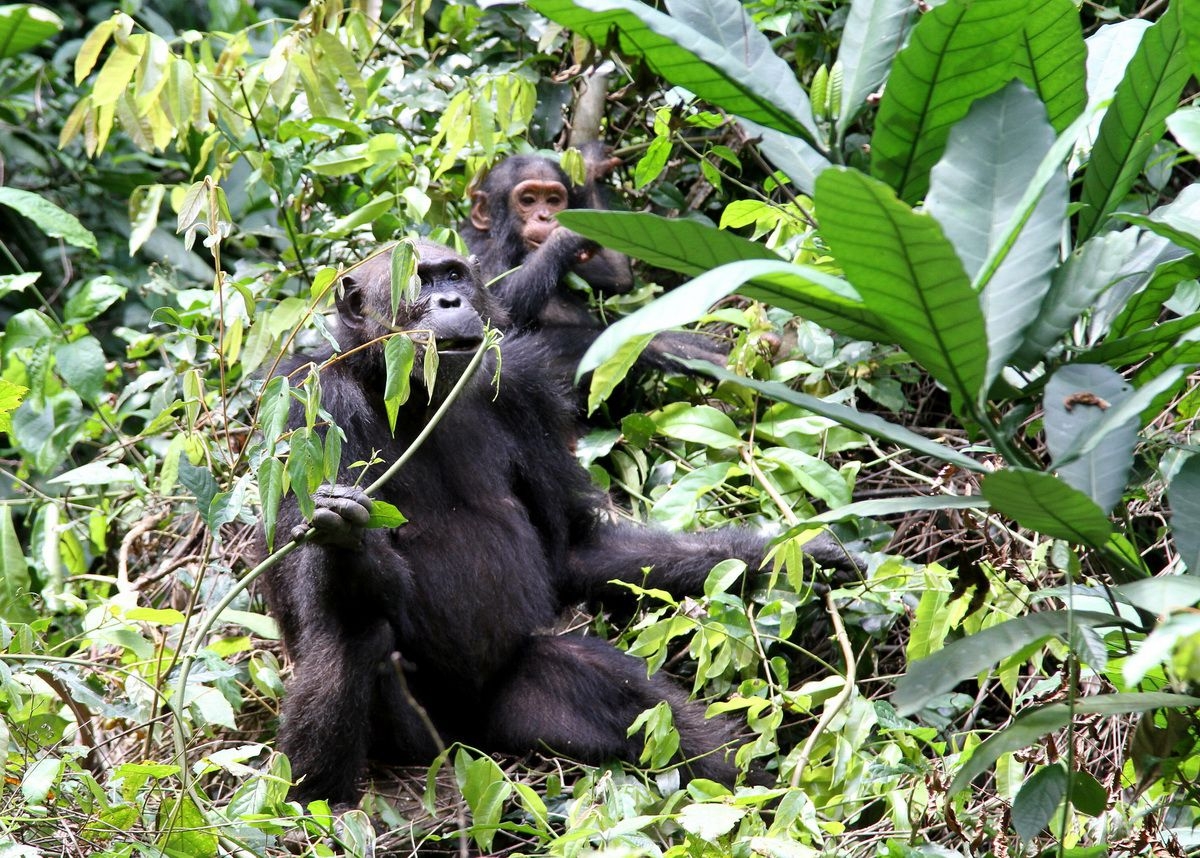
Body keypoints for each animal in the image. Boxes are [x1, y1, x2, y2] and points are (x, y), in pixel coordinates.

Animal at [265, 240, 864, 806]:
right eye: (419, 280)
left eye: (453, 274)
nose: (450, 301)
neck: (415, 398)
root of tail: (465, 743)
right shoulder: (309, 403)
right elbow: (303, 587)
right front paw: (347, 539)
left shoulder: (527, 390)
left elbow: (572, 548)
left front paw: (793, 555)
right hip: (409, 743)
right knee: (353, 629)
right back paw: (319, 805)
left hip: (513, 703)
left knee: (634, 699)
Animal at [456, 147, 720, 379]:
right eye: (528, 200)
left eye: (553, 200)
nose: (545, 216)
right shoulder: (481, 252)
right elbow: (498, 319)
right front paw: (566, 236)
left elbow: (619, 277)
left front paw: (592, 167)